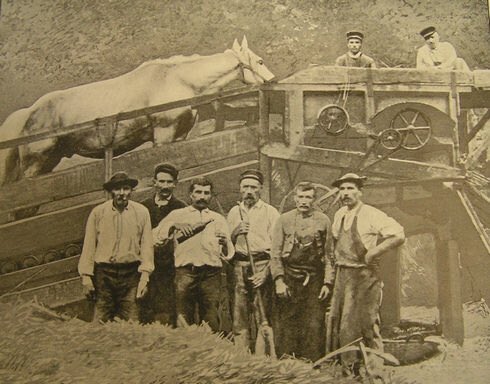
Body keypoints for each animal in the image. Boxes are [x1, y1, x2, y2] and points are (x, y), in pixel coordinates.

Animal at [0, 37, 274, 186]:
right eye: (260, 61)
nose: (273, 81)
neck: (177, 80)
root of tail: (28, 113)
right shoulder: (163, 135)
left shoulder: (180, 137)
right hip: (34, 165)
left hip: (48, 163)